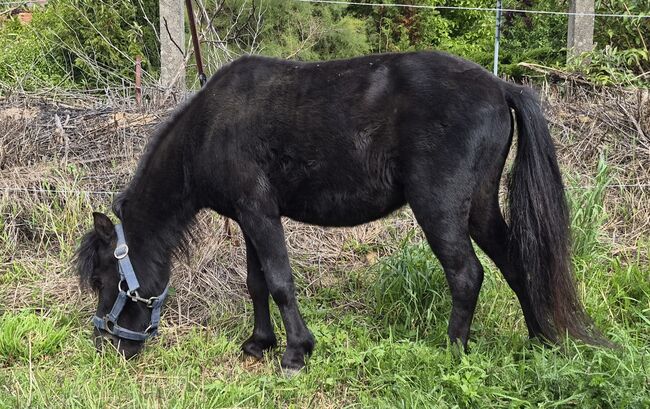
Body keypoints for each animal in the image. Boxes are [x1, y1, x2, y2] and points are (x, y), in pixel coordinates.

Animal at [75, 51, 605, 372]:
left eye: (103, 280)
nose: (110, 347)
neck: (209, 128)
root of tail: (499, 87)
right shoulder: (249, 218)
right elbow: (257, 282)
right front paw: (260, 343)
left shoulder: (260, 213)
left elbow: (280, 282)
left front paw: (295, 352)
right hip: (478, 207)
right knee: (516, 264)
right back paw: (540, 341)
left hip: (440, 209)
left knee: (466, 275)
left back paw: (454, 352)